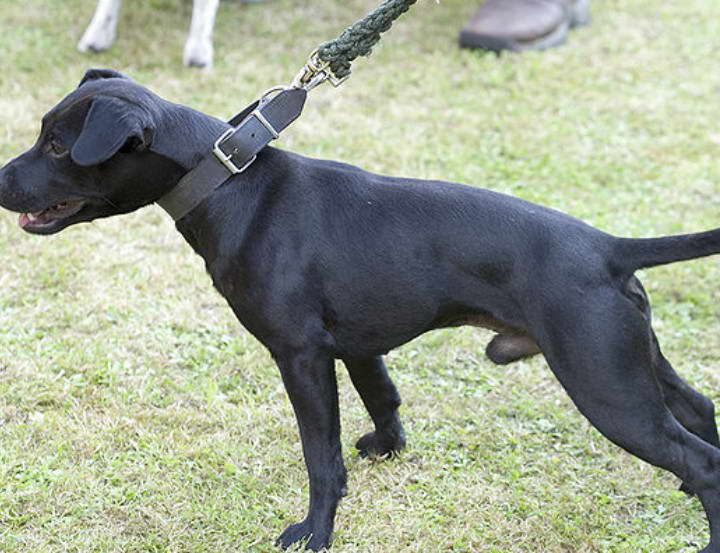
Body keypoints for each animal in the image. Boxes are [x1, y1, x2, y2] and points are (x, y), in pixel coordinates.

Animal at [1, 70, 720, 552]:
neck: (231, 181)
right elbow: (383, 395)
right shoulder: (355, 346)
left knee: (700, 459)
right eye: (43, 134)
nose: (0, 181)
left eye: (60, 147)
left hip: (605, 387)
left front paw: (314, 532)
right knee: (700, 411)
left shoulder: (300, 356)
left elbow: (321, 458)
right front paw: (387, 448)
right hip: (635, 364)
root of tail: (607, 247)